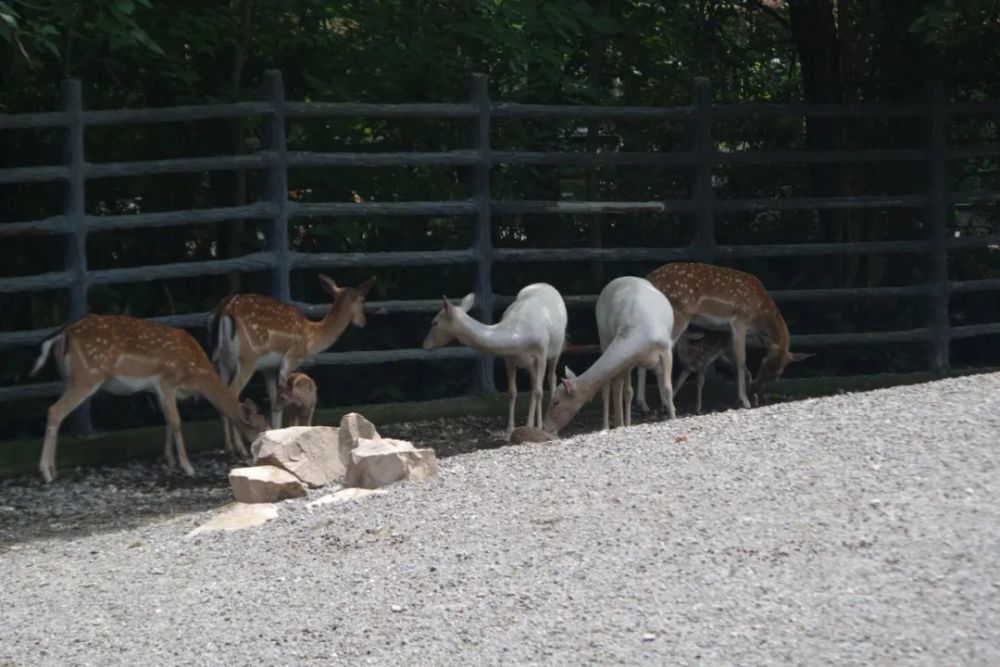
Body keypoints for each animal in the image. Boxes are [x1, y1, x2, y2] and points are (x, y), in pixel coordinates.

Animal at [29, 316, 266, 482]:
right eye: (260, 428)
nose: (257, 453)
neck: (197, 375)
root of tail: (62, 335)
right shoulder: (167, 381)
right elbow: (176, 422)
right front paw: (187, 467)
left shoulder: (157, 389)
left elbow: (167, 421)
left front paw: (169, 460)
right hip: (87, 376)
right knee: (55, 411)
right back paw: (46, 473)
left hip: (68, 378)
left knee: (55, 410)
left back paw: (53, 469)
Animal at [208, 276, 376, 460]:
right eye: (362, 300)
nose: (363, 322)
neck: (311, 337)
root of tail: (223, 311)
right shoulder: (291, 357)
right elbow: (282, 397)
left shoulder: (268, 367)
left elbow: (273, 399)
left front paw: (272, 435)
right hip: (247, 358)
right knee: (232, 393)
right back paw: (241, 450)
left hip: (221, 361)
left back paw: (229, 449)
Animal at [420, 280, 568, 438]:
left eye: (435, 322)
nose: (425, 345)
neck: (518, 336)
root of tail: (545, 284)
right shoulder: (509, 359)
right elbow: (512, 392)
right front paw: (509, 432)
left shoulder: (541, 354)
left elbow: (539, 392)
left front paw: (536, 428)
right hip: (530, 364)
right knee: (534, 383)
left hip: (557, 348)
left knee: (551, 377)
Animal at [544, 276, 676, 436]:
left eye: (556, 402)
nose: (545, 427)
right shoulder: (629, 361)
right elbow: (627, 391)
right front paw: (625, 424)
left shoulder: (666, 348)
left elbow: (668, 388)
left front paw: (673, 417)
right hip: (603, 335)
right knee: (610, 387)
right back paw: (608, 426)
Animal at [636, 262, 816, 410]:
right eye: (763, 361)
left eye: (778, 374)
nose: (756, 388)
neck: (760, 315)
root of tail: (650, 278)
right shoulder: (740, 320)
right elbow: (741, 359)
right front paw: (745, 400)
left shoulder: (730, 332)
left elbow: (735, 361)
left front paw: (748, 398)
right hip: (679, 313)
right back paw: (665, 403)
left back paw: (644, 404)